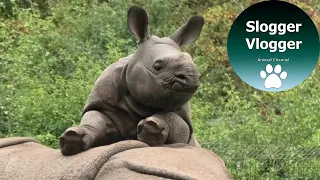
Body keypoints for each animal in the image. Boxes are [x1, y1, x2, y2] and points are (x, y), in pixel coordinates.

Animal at [59, 5, 204, 155]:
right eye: (157, 67)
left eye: (192, 62)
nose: (191, 76)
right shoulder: (102, 100)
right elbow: (96, 119)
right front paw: (73, 138)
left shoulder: (185, 132)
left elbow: (176, 121)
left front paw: (152, 128)